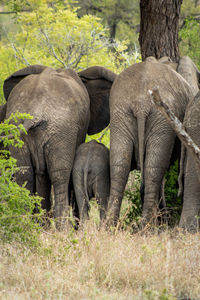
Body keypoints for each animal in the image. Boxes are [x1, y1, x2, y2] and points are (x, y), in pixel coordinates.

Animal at [1, 64, 116, 226]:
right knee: (60, 175)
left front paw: (43, 225)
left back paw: (23, 223)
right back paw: (64, 228)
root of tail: (35, 111)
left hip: (18, 128)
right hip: (62, 129)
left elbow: (41, 175)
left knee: (24, 174)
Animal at [106, 55, 195, 225]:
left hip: (120, 113)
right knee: (154, 170)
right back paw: (148, 226)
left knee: (119, 167)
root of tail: (140, 104)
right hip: (160, 117)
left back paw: (109, 227)